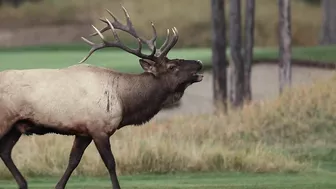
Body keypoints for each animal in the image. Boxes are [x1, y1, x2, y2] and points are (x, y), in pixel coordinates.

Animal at [0, 5, 203, 188]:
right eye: (172, 66)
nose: (199, 63)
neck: (124, 102)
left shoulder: (83, 131)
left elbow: (73, 160)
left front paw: (58, 186)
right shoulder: (99, 129)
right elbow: (110, 163)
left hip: (16, 126)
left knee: (5, 151)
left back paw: (23, 183)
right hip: (4, 120)